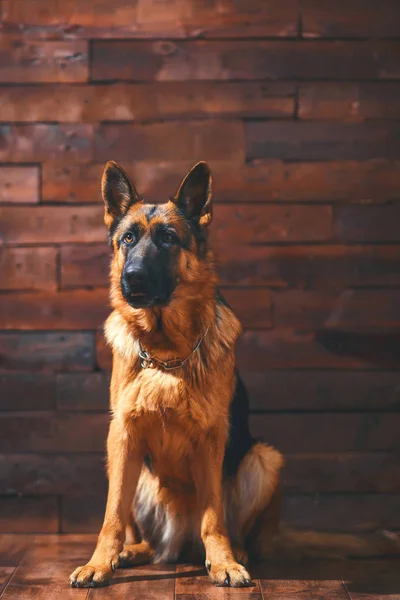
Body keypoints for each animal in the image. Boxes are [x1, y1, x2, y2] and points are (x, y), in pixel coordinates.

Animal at [70, 162, 398, 588]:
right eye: (128, 238)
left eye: (168, 239)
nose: (133, 278)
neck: (167, 353)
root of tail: (179, 542)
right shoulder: (123, 435)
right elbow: (112, 515)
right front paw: (99, 562)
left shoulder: (212, 439)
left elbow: (214, 513)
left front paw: (223, 562)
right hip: (132, 468)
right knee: (141, 532)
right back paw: (133, 551)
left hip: (264, 459)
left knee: (234, 529)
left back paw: (236, 551)